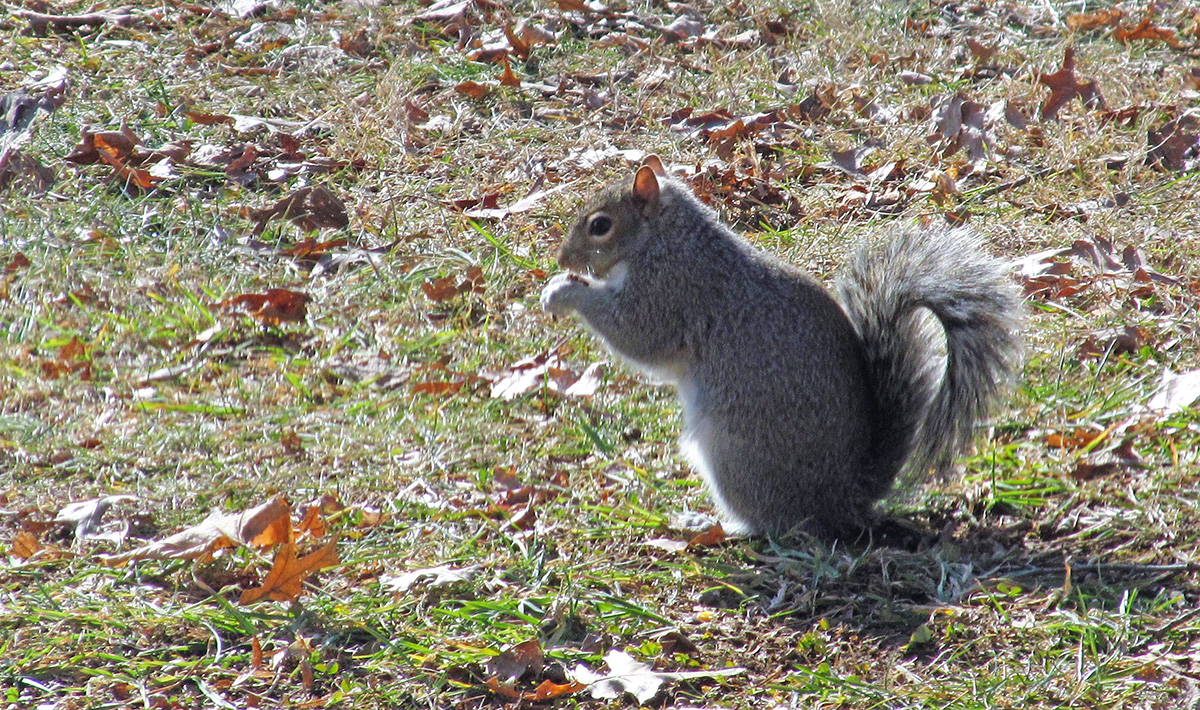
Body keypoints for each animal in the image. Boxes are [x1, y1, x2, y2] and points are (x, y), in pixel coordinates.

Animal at [540, 156, 1023, 538]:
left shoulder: (670, 290)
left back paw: (717, 525)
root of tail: (842, 498)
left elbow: (637, 334)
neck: (665, 238)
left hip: (735, 455)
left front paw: (565, 292)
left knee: (776, 525)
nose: (562, 259)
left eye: (600, 226)